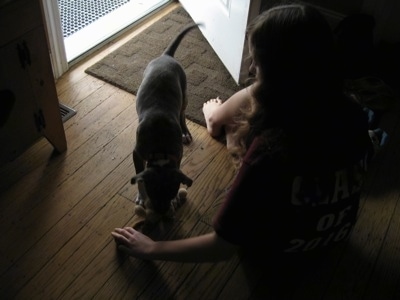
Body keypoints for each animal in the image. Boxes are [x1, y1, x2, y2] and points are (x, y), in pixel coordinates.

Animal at [131, 23, 200, 223]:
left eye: (170, 192)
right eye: (152, 193)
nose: (162, 213)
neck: (160, 147)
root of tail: (166, 56)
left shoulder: (177, 155)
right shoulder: (137, 153)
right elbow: (139, 176)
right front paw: (141, 196)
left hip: (184, 94)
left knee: (182, 114)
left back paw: (185, 132)